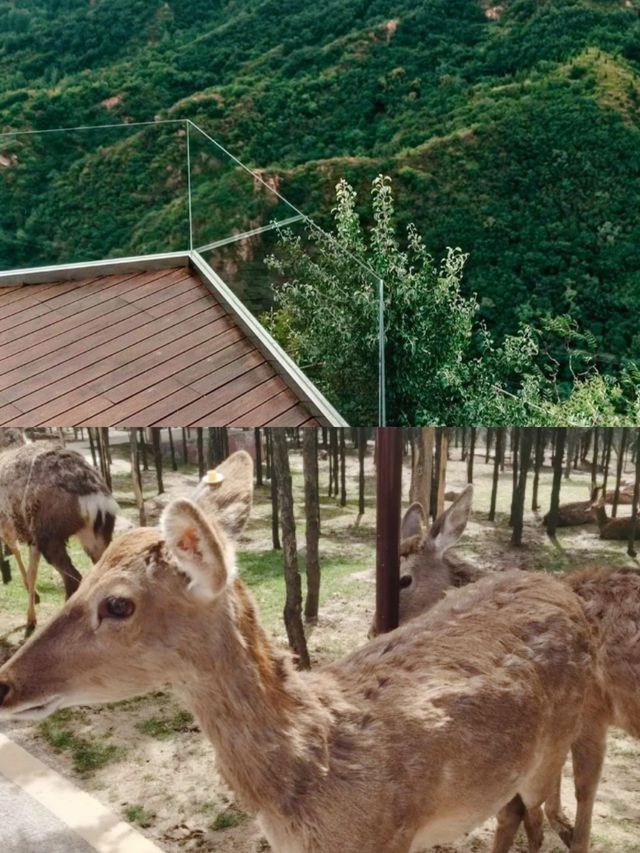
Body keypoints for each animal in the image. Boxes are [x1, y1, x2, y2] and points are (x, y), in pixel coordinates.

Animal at [0, 426, 119, 632]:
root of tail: (94, 499)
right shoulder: (30, 536)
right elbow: (31, 571)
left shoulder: (12, 526)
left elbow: (20, 558)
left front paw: (31, 616)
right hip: (95, 536)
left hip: (51, 536)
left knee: (73, 578)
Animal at [1, 450, 600, 848]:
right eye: (88, 577)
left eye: (118, 604)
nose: (5, 681)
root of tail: (564, 590)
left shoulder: (388, 838)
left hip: (559, 741)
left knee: (544, 812)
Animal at [396, 486, 640, 852]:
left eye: (404, 579)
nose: (374, 629)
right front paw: (557, 827)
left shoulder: (592, 711)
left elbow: (584, 787)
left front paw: (570, 834)